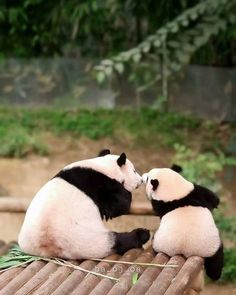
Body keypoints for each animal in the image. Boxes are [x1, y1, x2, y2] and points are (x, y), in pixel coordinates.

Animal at [18, 151, 149, 260]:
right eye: (134, 171)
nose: (141, 180)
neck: (103, 167)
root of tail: (48, 248)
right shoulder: (101, 183)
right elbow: (120, 204)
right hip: (87, 240)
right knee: (117, 241)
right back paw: (142, 234)